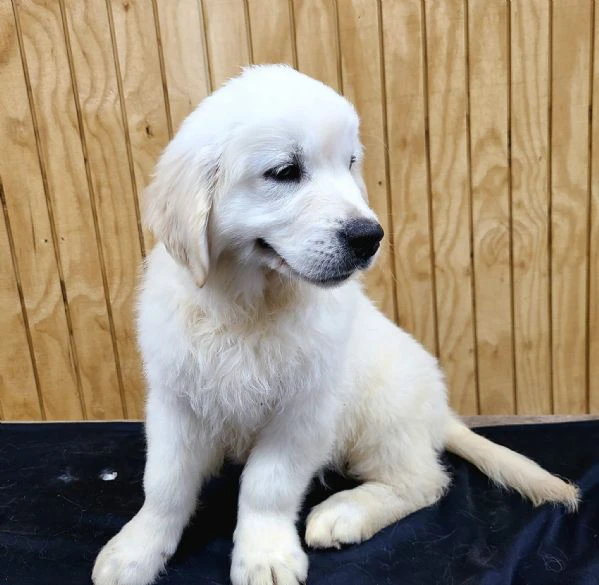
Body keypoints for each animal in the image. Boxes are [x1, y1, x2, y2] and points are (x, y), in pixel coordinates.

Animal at [94, 64, 580, 584]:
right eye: (285, 172)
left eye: (349, 163)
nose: (370, 236)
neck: (249, 306)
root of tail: (439, 414)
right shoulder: (176, 400)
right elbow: (164, 485)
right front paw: (137, 549)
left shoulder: (305, 409)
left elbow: (267, 485)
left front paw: (264, 554)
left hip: (384, 411)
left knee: (425, 481)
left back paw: (346, 512)